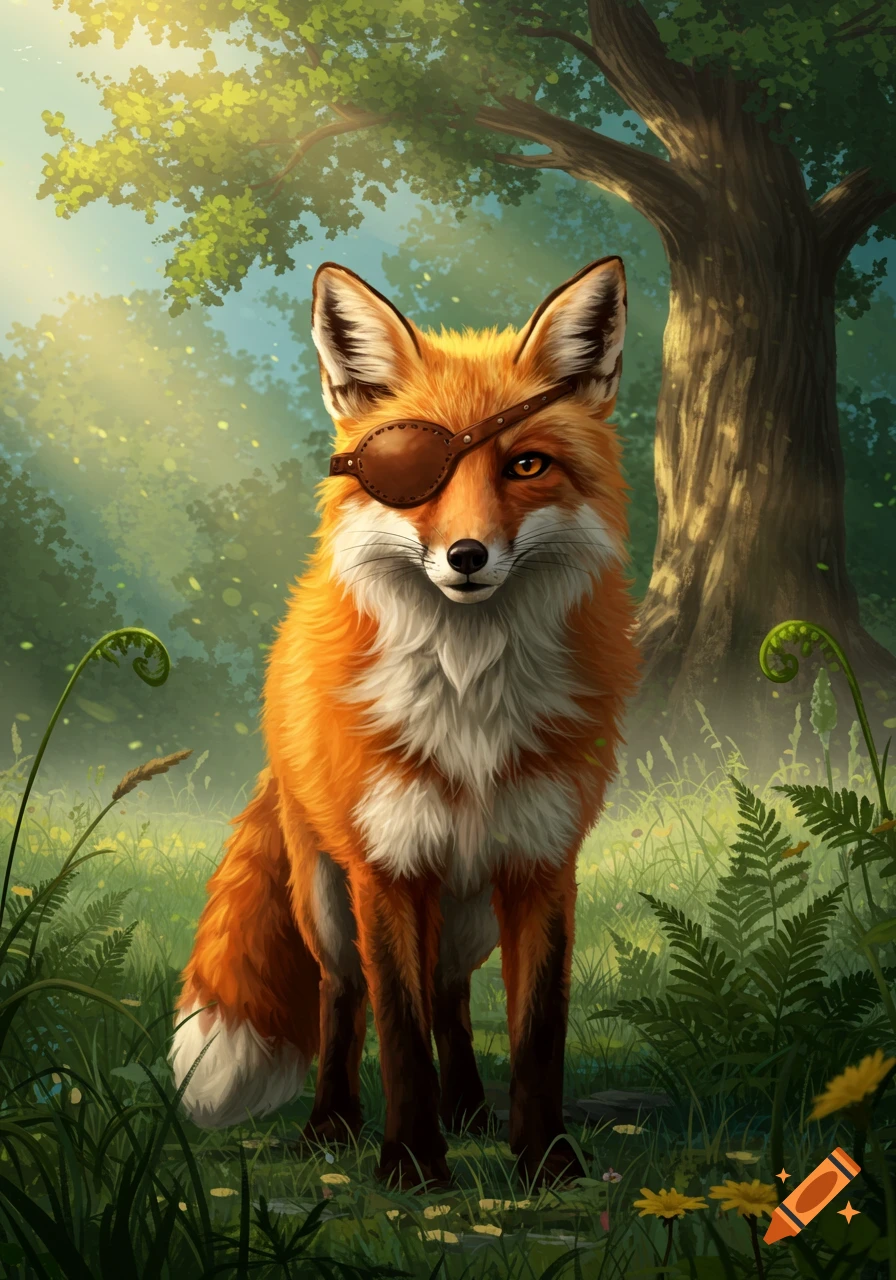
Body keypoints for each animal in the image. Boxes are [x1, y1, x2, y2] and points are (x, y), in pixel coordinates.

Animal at [170, 255, 641, 1189]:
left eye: (527, 464)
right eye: (410, 475)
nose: (466, 556)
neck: (469, 703)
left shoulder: (542, 863)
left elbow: (538, 1032)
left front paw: (544, 1162)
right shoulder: (385, 867)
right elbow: (396, 1028)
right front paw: (413, 1168)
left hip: (466, 910)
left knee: (451, 997)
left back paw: (469, 1111)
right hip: (327, 897)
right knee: (343, 995)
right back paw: (333, 1125)